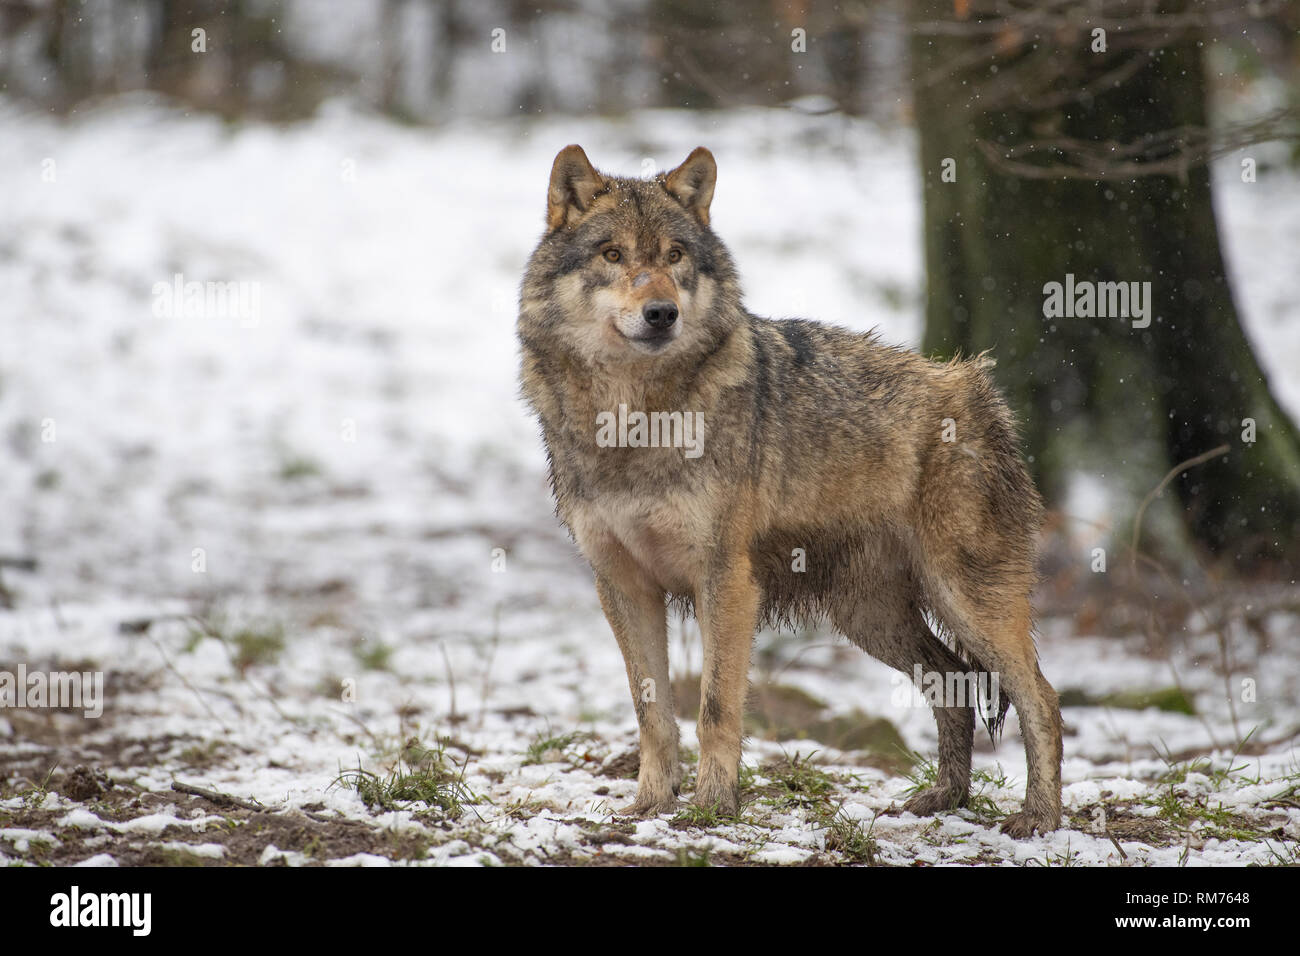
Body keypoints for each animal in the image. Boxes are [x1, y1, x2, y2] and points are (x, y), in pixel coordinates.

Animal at [512, 143, 1060, 837]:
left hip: (966, 600)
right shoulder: (623, 585)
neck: (635, 418)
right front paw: (649, 807)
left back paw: (1040, 818)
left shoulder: (726, 581)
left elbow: (715, 708)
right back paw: (943, 800)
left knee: (1042, 698)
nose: (662, 313)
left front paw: (712, 807)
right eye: (612, 254)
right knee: (955, 683)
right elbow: (652, 713)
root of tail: (980, 389)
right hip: (871, 618)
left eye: (675, 256)